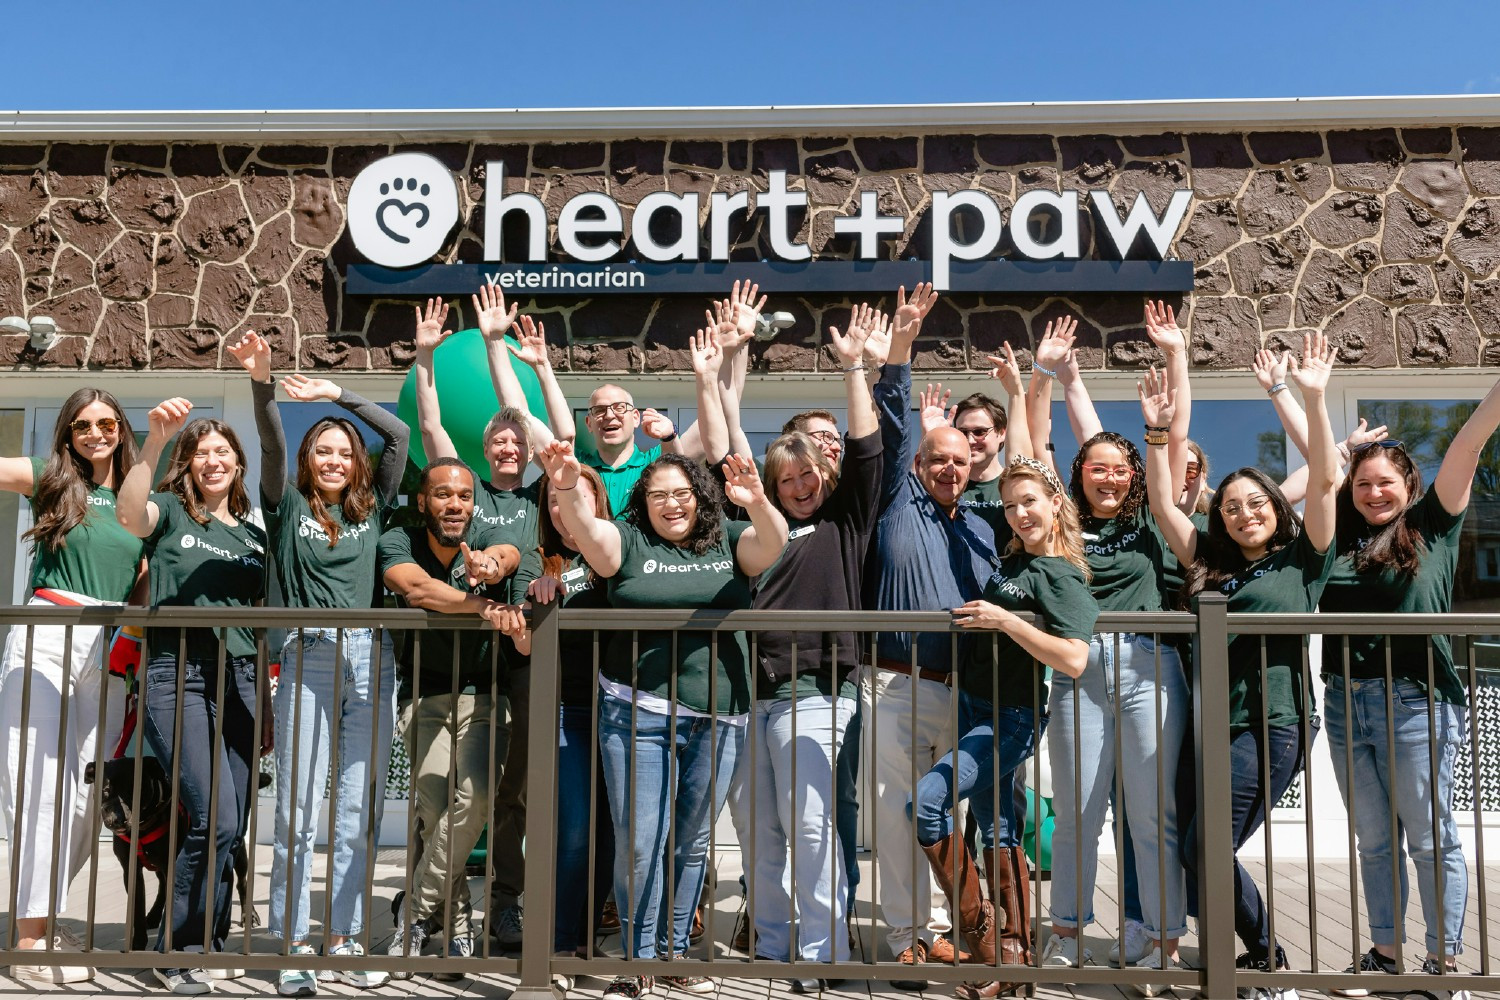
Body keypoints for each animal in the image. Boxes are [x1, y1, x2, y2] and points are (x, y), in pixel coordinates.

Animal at [83, 758, 264, 953]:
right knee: (163, 886)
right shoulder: (131, 870)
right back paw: (154, 915)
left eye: (135, 790)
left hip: (238, 852)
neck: (143, 829)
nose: (115, 820)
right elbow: (138, 909)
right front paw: (138, 943)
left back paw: (249, 915)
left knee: (242, 882)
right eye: (105, 791)